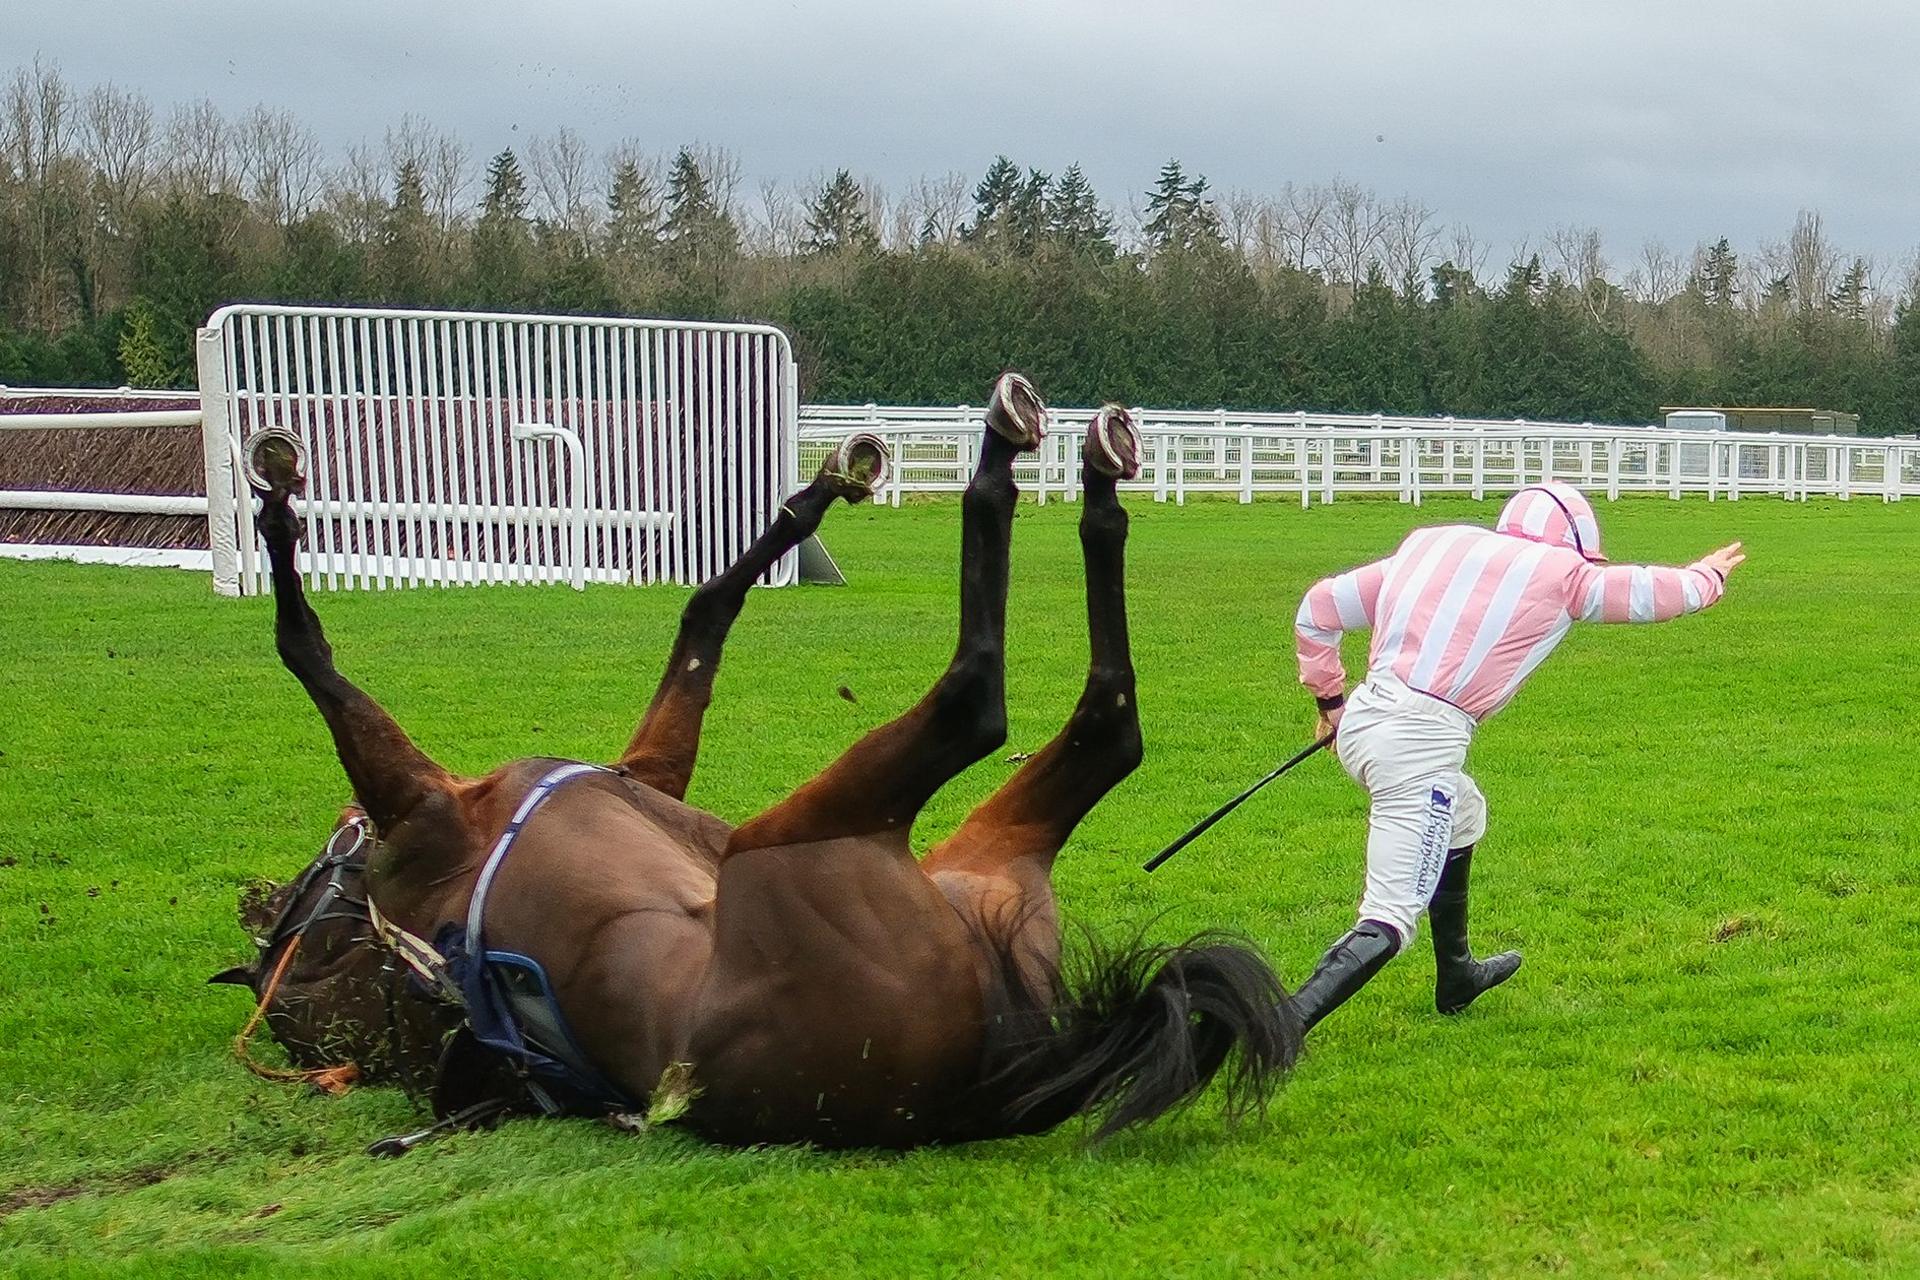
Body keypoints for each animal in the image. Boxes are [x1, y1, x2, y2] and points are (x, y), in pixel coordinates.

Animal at [220, 376, 1305, 1143]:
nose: (335, 843)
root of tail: (998, 1078)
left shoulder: (634, 772)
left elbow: (705, 610)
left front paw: (813, 497)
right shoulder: (422, 807)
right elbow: (300, 646)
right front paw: (272, 507)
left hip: (957, 855)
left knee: (1079, 722)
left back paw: (1073, 466)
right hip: (809, 840)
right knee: (1002, 706)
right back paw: (1027, 462)